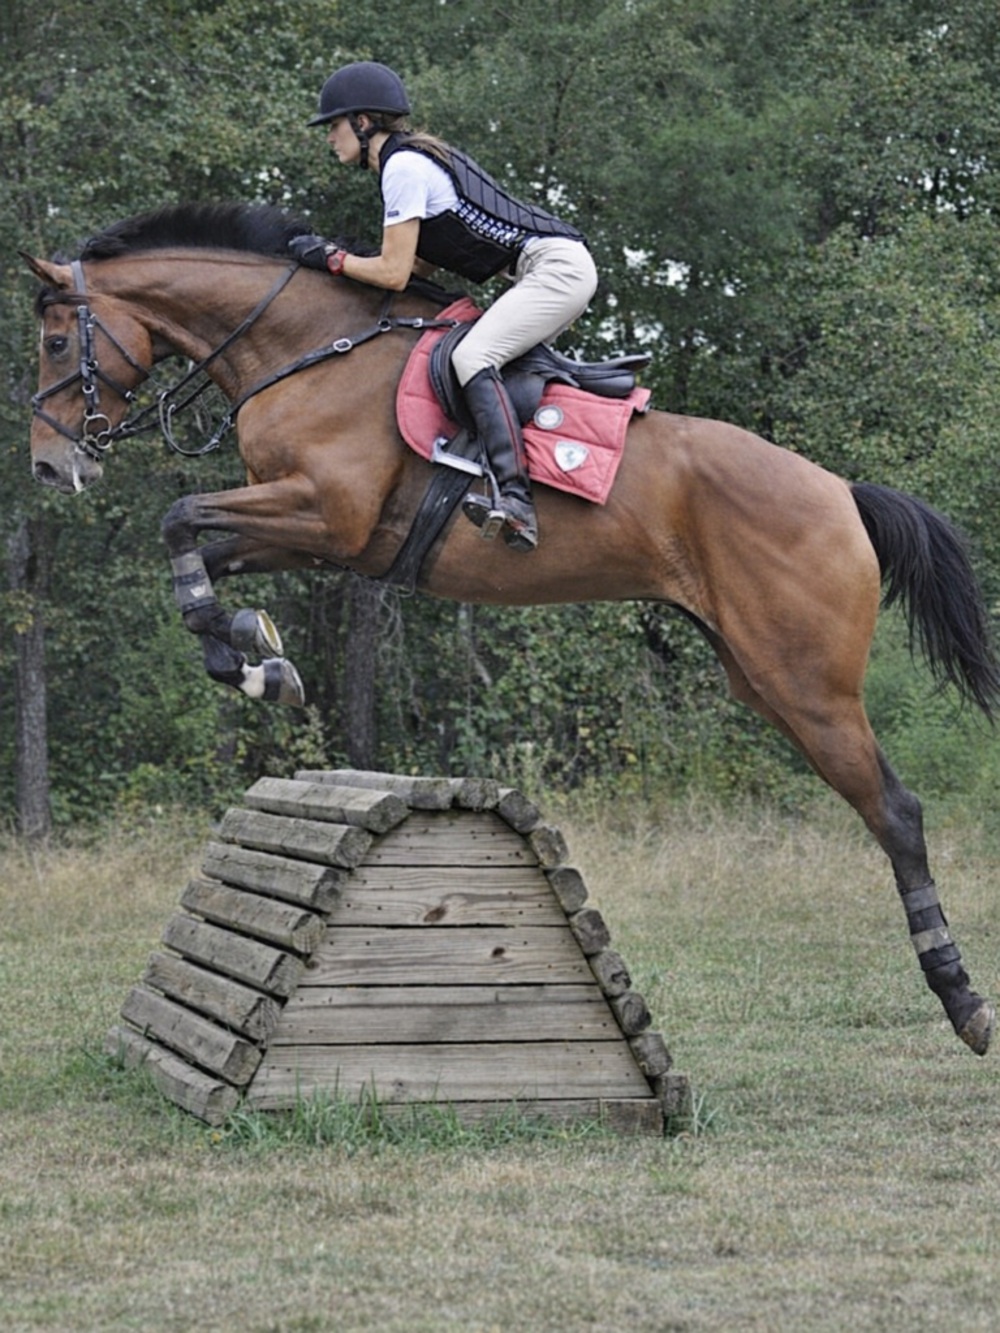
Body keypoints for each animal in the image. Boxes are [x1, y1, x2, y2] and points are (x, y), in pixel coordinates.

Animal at [23, 201, 999, 1057]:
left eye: (55, 342)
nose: (47, 465)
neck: (304, 351)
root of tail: (841, 493)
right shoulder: (314, 529)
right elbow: (193, 548)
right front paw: (254, 657)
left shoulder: (327, 513)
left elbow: (178, 516)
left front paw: (255, 657)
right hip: (759, 676)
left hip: (808, 684)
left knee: (897, 811)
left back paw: (962, 1000)